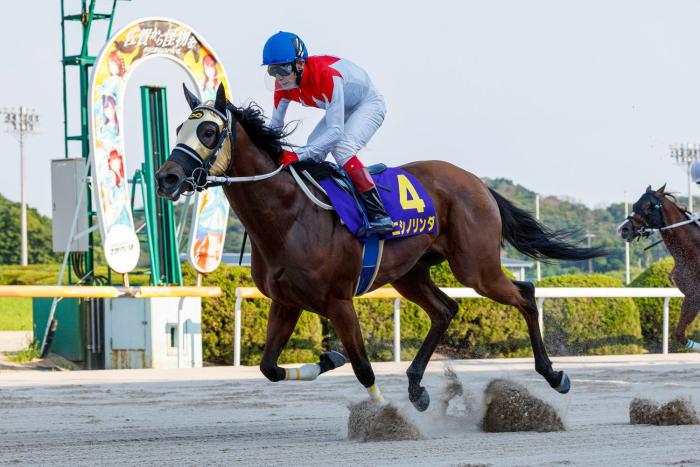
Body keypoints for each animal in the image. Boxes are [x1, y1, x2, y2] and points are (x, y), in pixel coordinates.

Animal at [156, 83, 607, 411]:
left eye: (208, 131)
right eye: (177, 129)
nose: (167, 178)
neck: (289, 217)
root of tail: (476, 182)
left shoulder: (338, 302)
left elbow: (363, 368)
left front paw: (384, 416)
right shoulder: (287, 302)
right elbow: (269, 367)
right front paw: (328, 359)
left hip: (476, 268)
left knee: (525, 295)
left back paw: (554, 374)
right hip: (411, 273)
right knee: (446, 310)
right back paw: (416, 387)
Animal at [618, 184, 700, 352]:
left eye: (647, 206)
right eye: (634, 205)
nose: (624, 229)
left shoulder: (695, 296)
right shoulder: (690, 295)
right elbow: (679, 335)